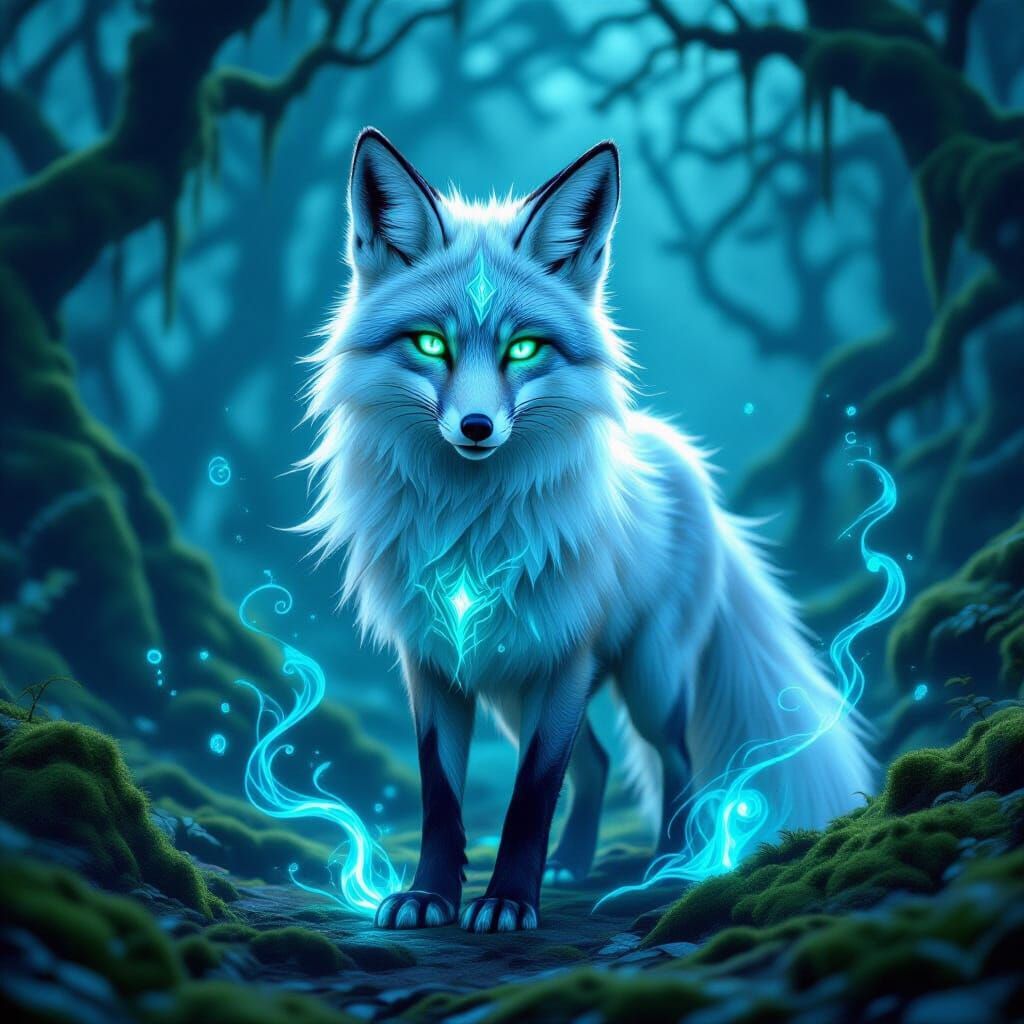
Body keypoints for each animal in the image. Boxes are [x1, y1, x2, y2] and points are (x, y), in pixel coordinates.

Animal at [299, 128, 874, 933]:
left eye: (524, 349)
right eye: (431, 344)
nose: (476, 428)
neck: (469, 528)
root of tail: (680, 456)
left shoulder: (567, 653)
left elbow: (532, 794)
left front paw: (508, 901)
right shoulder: (434, 661)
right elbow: (442, 795)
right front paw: (431, 896)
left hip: (647, 677)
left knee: (675, 759)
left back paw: (670, 865)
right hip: (510, 689)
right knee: (598, 763)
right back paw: (573, 862)